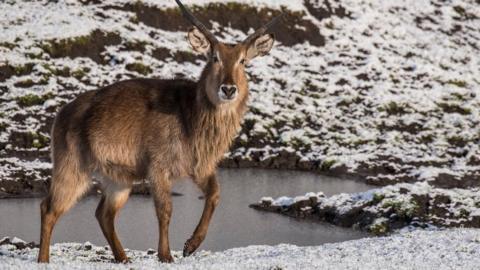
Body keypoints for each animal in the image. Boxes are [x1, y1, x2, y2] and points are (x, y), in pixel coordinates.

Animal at [38, 0, 284, 264]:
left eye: (243, 61)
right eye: (214, 57)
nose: (228, 89)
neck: (191, 117)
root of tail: (61, 114)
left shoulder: (200, 166)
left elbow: (215, 194)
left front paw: (191, 245)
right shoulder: (158, 167)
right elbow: (165, 210)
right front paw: (166, 255)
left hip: (118, 179)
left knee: (102, 213)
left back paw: (124, 258)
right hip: (72, 168)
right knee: (48, 208)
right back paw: (43, 260)